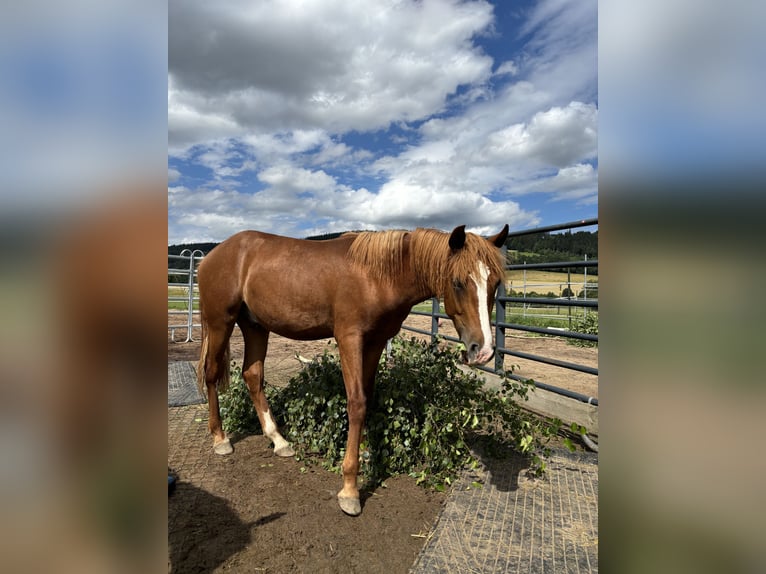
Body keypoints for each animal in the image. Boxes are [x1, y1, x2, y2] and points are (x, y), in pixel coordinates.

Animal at [198, 225, 510, 516]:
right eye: (458, 282)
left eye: (494, 283)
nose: (483, 350)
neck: (376, 275)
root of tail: (212, 257)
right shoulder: (350, 338)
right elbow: (356, 403)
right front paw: (350, 488)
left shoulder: (375, 342)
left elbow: (368, 397)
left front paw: (366, 453)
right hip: (220, 323)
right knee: (211, 373)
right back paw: (220, 439)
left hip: (255, 326)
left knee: (253, 376)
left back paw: (278, 440)